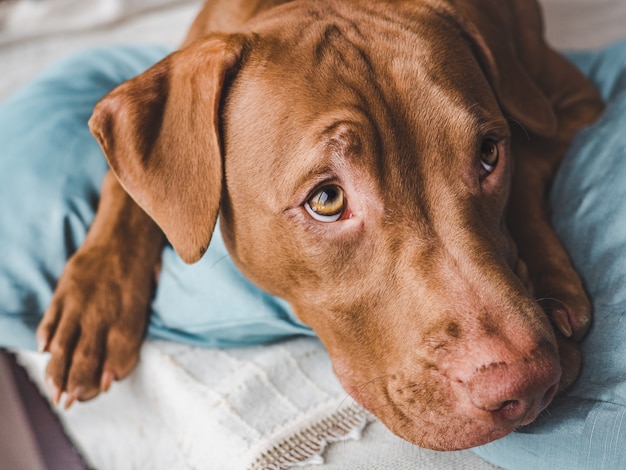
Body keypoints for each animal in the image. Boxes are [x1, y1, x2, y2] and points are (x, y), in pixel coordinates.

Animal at [36, 0, 604, 450]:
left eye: (488, 154)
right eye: (327, 200)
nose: (526, 383)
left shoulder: (573, 99)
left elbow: (529, 167)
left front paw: (551, 285)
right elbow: (122, 187)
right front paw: (95, 304)